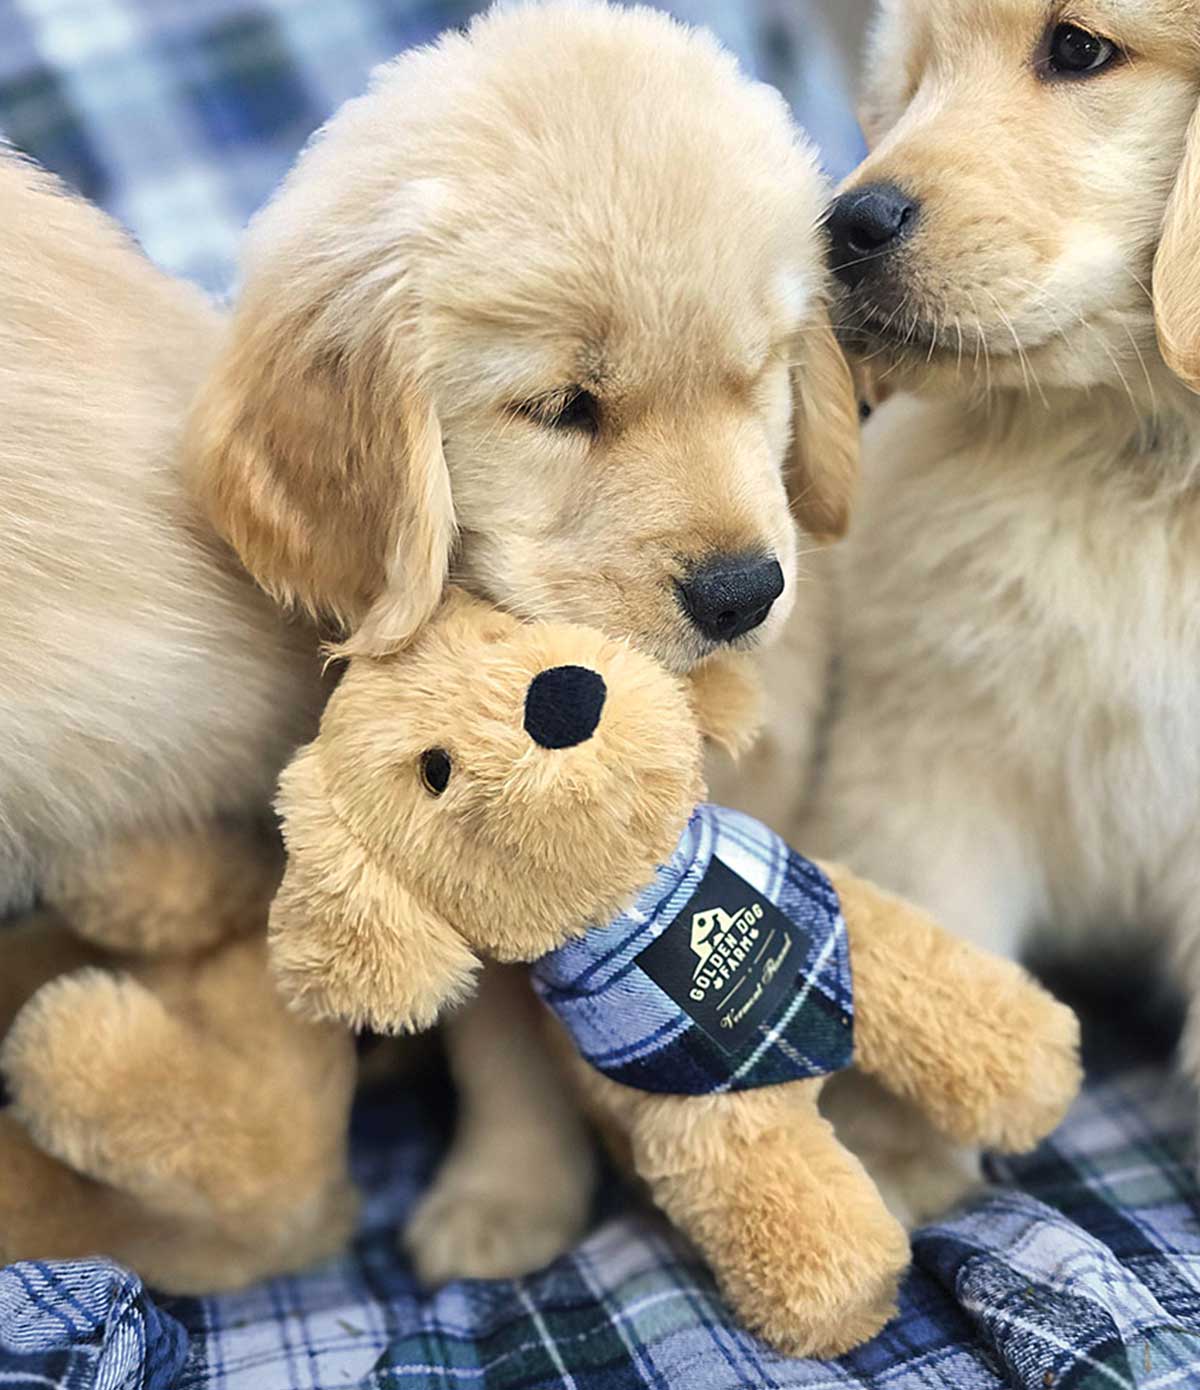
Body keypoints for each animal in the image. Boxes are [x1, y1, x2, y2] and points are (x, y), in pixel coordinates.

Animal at [806, 0, 1200, 1217]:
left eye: (1079, 49)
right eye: (915, 81)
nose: (844, 226)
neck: (1136, 457)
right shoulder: (928, 761)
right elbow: (941, 937)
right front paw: (904, 1165)